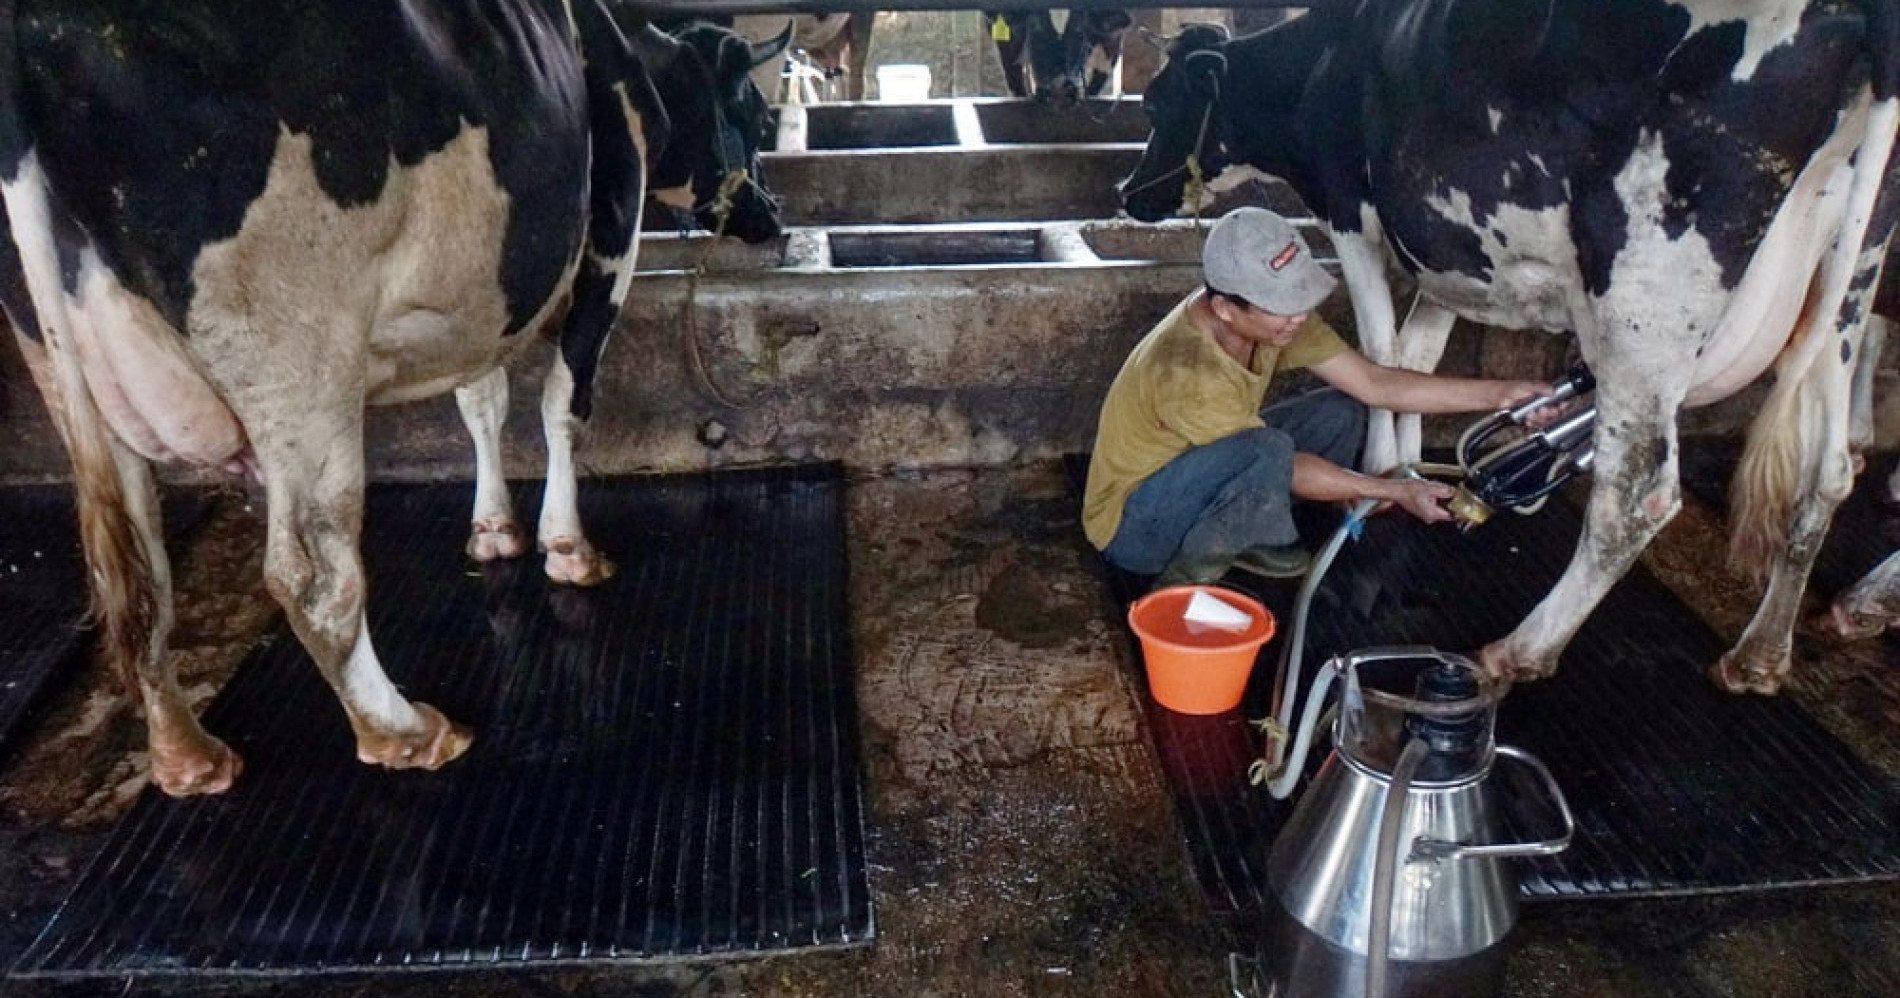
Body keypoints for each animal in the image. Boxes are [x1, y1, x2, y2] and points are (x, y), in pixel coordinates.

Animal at [0, 0, 786, 794]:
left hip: (72, 381)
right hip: (296, 364)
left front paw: (494, 530)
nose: (771, 215)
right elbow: (564, 402)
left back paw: (186, 754)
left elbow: (482, 402)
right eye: (757, 113)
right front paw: (568, 547)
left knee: (138, 575)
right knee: (313, 579)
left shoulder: (479, 301)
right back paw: (404, 730)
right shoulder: (611, 240)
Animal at [1117, 1, 1892, 691]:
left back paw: (1520, 651)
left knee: (1635, 495)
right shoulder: (1447, 255)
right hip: (1847, 280)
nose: (1128, 193)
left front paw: (1377, 477)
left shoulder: (1349, 211)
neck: (1322, 62)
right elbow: (1414, 360)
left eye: (1156, 104)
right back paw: (1761, 652)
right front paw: (1406, 471)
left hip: (1648, 294)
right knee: (1830, 471)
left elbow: (1378, 348)